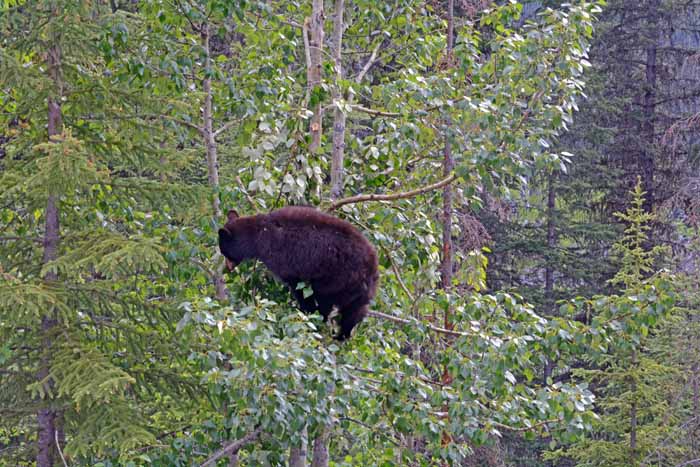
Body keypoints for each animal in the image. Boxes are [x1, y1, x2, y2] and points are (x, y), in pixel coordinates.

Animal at [219, 207, 380, 342]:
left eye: (224, 252)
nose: (228, 267)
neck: (259, 233)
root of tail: (370, 266)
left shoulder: (284, 257)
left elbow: (299, 288)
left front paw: (305, 310)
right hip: (360, 289)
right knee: (354, 311)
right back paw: (343, 335)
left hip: (338, 277)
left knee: (326, 300)